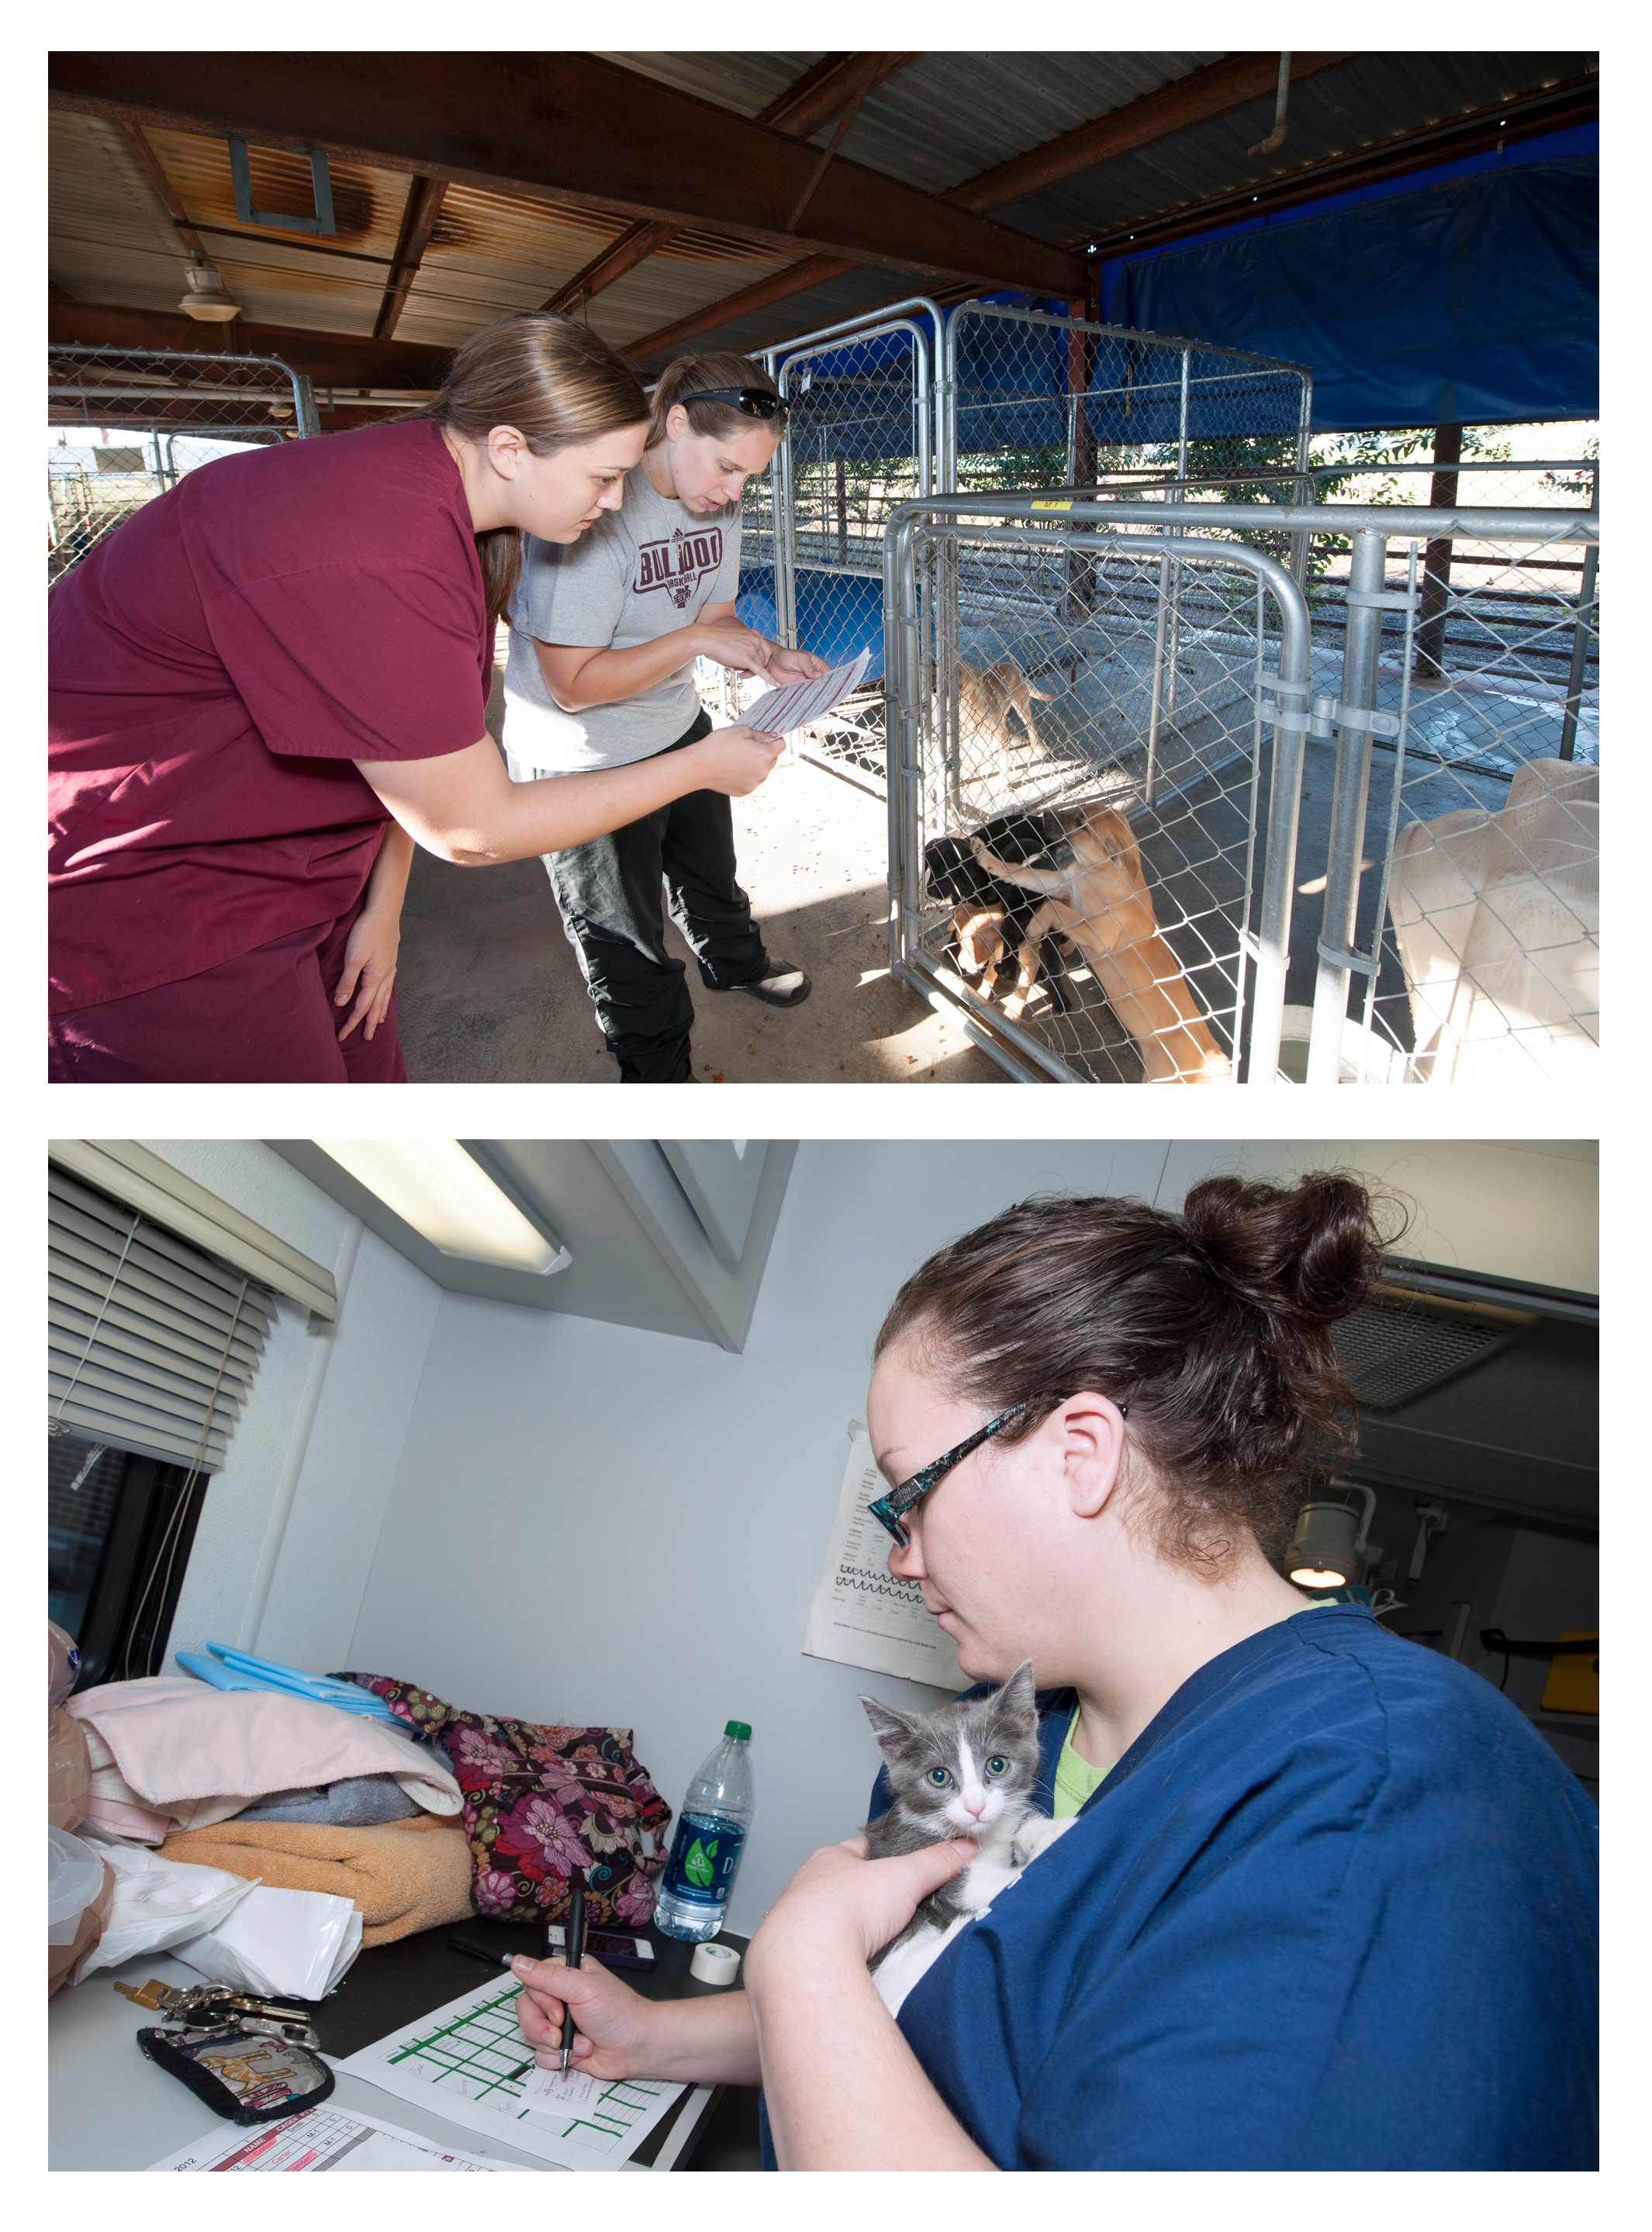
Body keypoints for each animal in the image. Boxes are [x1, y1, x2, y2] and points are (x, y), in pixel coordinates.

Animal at [857, 1669, 1076, 2017]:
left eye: (997, 1765)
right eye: (938, 1776)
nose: (976, 1807)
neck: (981, 1837)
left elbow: (1020, 1827)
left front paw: (1052, 1833)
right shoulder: (902, 1844)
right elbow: (970, 1883)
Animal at [955, 656, 1058, 789]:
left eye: (960, 672)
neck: (967, 705)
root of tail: (1011, 664)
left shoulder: (1000, 731)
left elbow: (1003, 762)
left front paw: (1003, 783)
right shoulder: (962, 735)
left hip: (1021, 706)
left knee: (1031, 726)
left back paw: (1038, 749)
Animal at [973, 807, 1232, 1084]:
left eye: (1081, 824)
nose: (1045, 814)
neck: (1097, 872)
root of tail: (1214, 1057)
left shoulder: (1096, 933)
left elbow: (1054, 907)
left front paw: (1033, 926)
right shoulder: (1060, 883)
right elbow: (1018, 873)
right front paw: (986, 856)